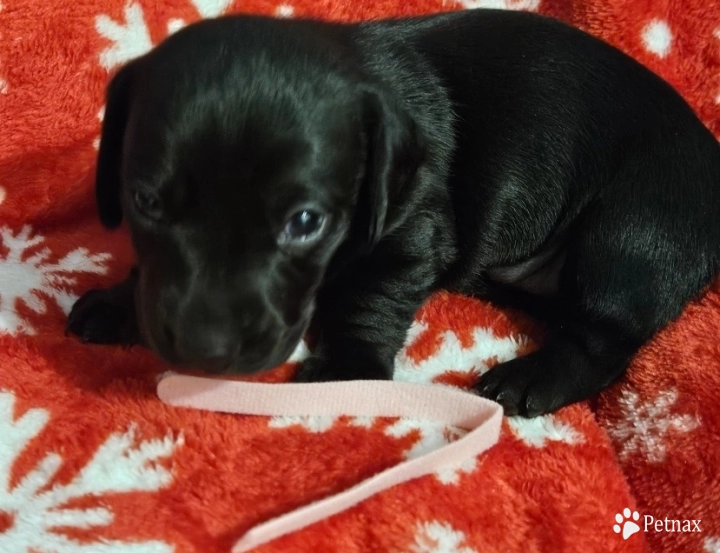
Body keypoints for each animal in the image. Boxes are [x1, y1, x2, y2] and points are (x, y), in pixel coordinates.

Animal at [67, 8, 720, 416]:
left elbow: (369, 299)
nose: (206, 349)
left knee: (605, 335)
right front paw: (118, 302)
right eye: (145, 202)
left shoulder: (409, 233)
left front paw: (344, 368)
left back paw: (532, 377)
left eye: (305, 223)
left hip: (635, 230)